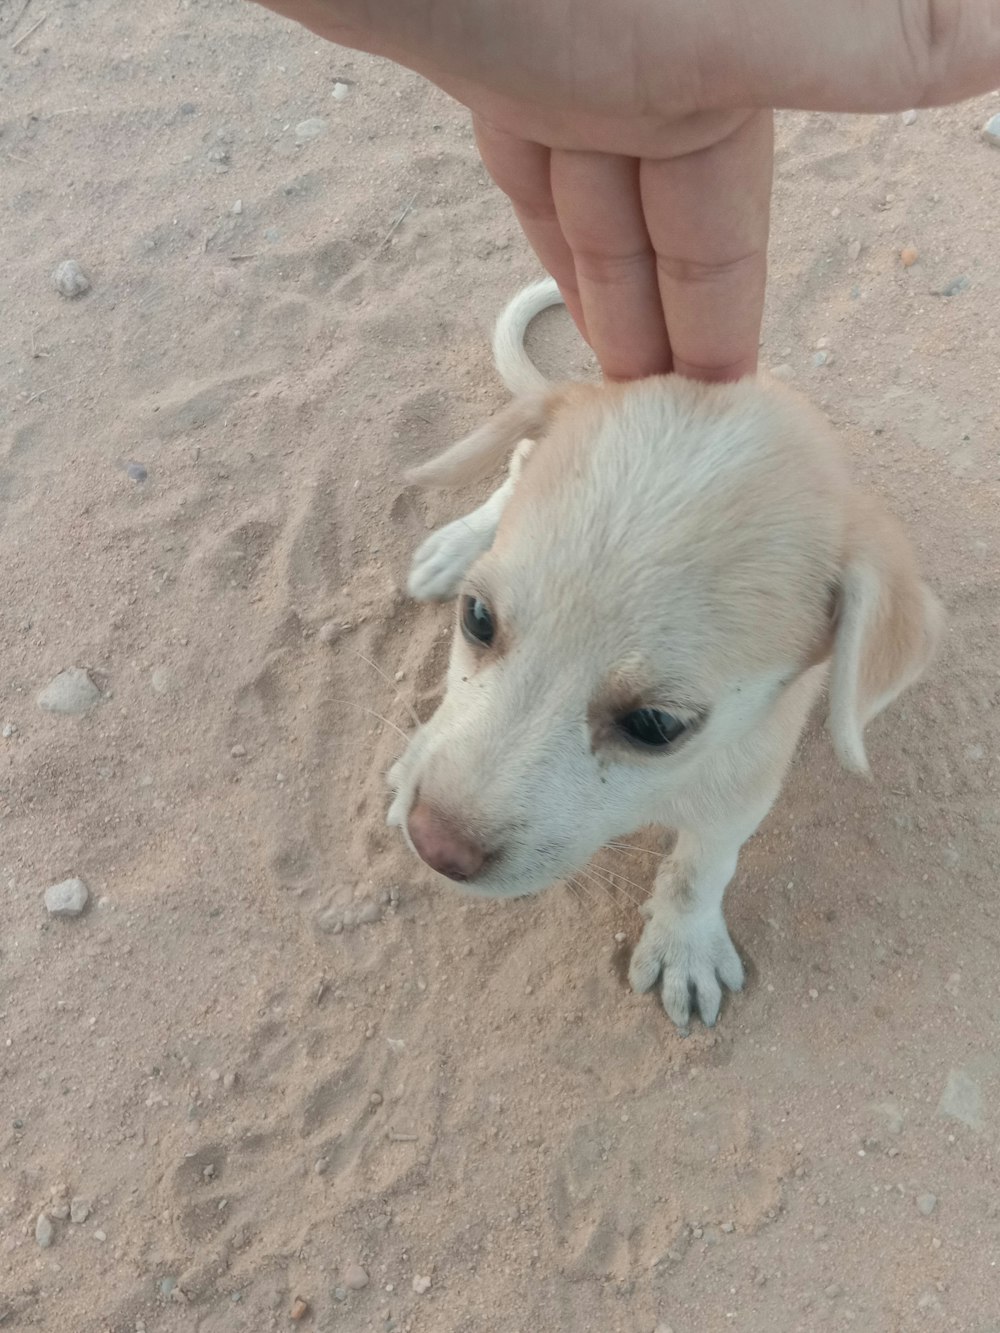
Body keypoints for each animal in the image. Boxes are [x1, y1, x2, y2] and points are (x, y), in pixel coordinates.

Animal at [386, 278, 944, 1029]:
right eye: (477, 619)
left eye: (656, 726)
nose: (434, 844)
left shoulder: (745, 782)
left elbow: (699, 869)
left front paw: (685, 946)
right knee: (519, 460)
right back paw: (457, 542)